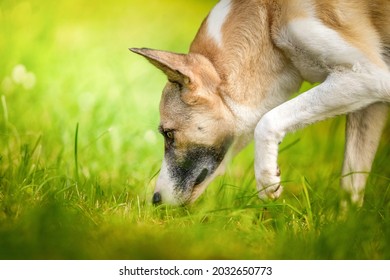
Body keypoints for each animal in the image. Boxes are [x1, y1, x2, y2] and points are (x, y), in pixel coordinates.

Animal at [132, 0, 390, 206]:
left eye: (168, 134)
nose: (155, 201)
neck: (267, 20)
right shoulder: (371, 103)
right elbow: (351, 184)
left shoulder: (364, 74)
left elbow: (267, 121)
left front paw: (267, 181)